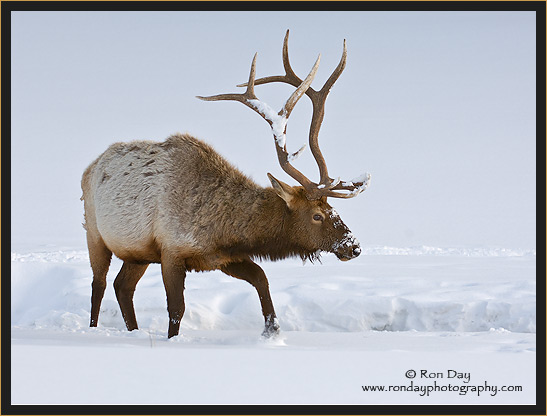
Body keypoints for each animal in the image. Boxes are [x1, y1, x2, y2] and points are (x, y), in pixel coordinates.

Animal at [81, 31, 370, 338]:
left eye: (333, 209)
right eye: (317, 215)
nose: (353, 246)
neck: (221, 228)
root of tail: (89, 168)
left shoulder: (222, 257)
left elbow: (261, 278)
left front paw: (271, 330)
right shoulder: (171, 251)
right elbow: (176, 310)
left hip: (137, 253)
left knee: (122, 286)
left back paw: (133, 331)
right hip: (95, 234)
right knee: (99, 284)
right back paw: (93, 328)